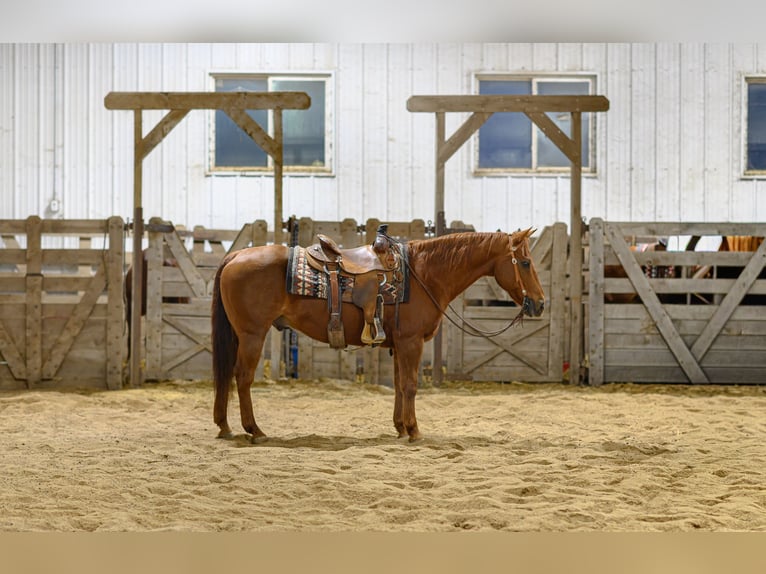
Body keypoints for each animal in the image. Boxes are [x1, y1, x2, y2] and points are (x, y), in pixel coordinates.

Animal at [211, 228, 545, 443]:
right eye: (525, 262)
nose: (540, 303)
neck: (424, 274)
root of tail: (235, 256)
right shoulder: (411, 342)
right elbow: (410, 385)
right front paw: (414, 430)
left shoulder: (399, 344)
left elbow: (398, 385)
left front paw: (400, 427)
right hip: (253, 334)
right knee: (242, 377)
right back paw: (254, 429)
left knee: (226, 374)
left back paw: (225, 426)